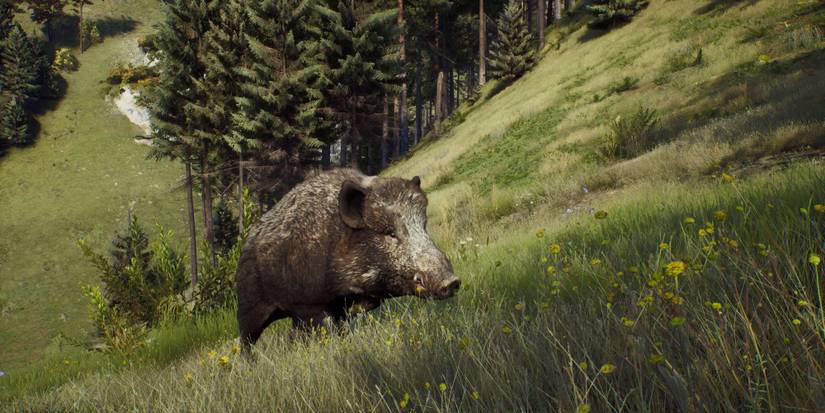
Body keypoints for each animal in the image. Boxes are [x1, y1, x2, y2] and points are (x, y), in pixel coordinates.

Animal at [236, 168, 460, 349]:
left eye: (423, 225)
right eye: (389, 233)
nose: (452, 281)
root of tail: (247, 241)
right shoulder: (310, 304)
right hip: (249, 306)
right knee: (246, 340)